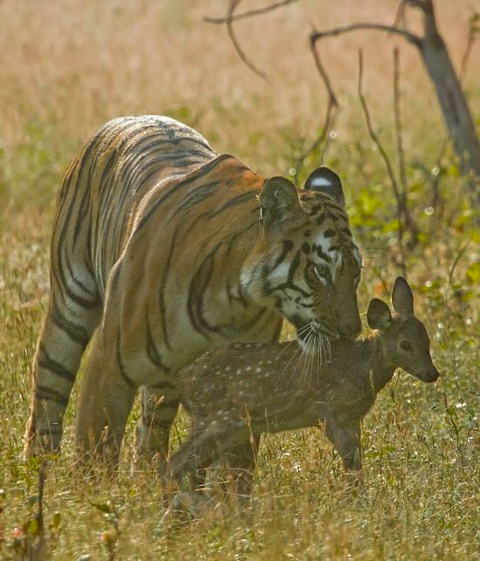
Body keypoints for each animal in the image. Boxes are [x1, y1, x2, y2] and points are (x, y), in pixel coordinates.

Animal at [22, 114, 360, 464]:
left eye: (356, 272)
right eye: (321, 271)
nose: (352, 331)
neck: (234, 302)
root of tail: (127, 118)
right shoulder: (109, 363)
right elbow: (96, 448)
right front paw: (89, 481)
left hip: (165, 381)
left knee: (151, 432)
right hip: (69, 310)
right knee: (47, 396)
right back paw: (37, 467)